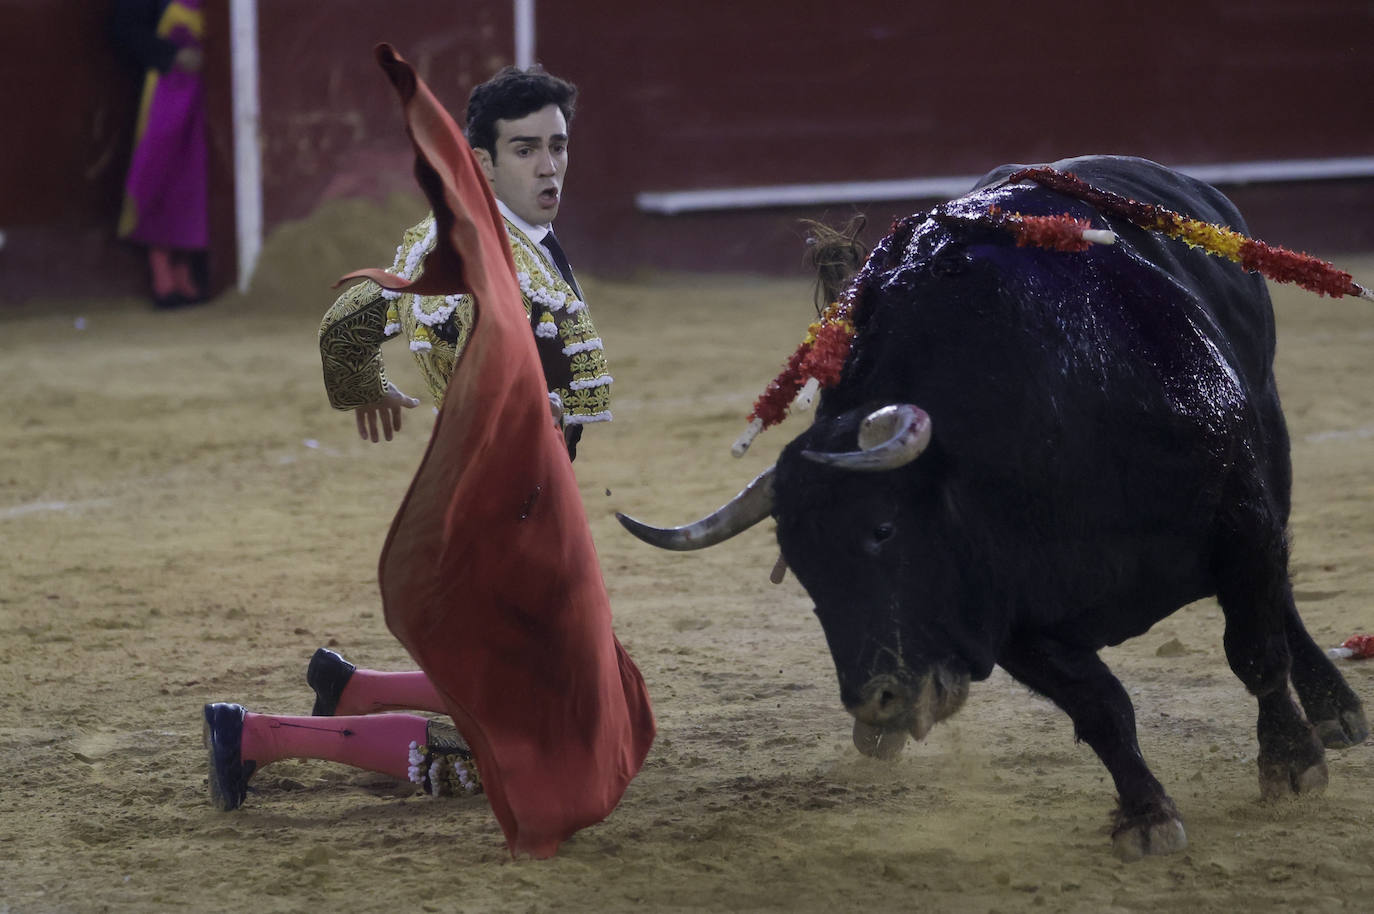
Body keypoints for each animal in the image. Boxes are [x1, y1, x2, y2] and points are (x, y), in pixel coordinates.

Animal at [621, 153, 1363, 857]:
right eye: (801, 571)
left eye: (883, 530)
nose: (876, 702)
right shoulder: (1004, 615)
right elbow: (1100, 707)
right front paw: (1145, 816)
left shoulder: (1240, 521)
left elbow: (1256, 651)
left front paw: (1292, 765)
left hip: (1270, 433)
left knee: (1281, 595)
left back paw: (1336, 709)